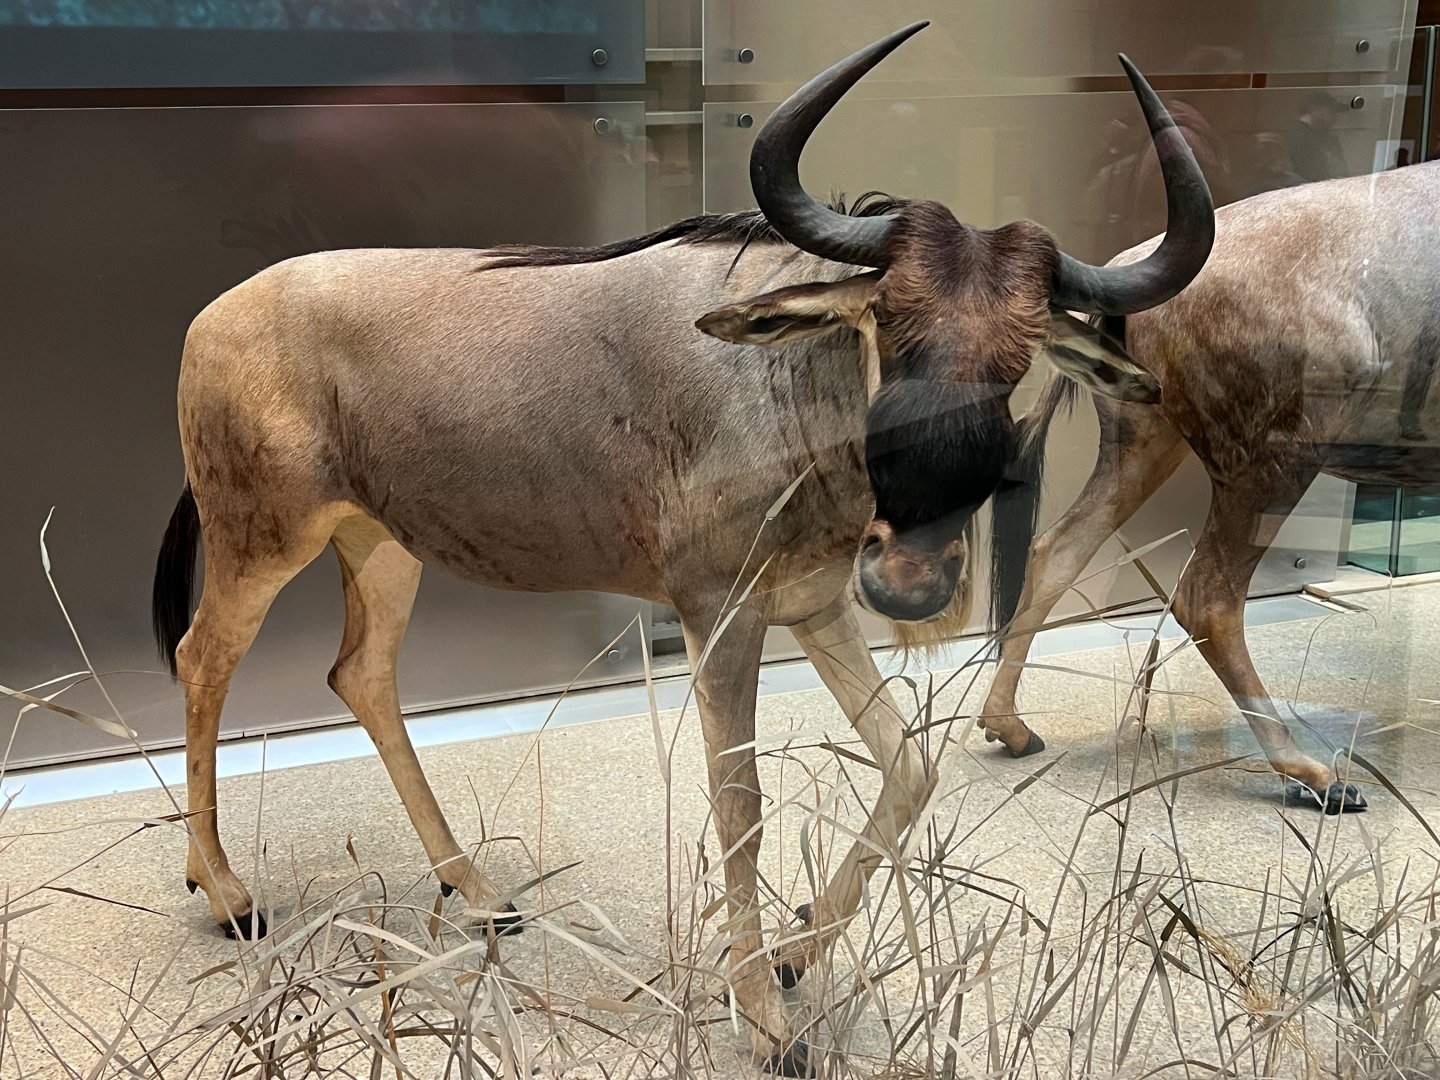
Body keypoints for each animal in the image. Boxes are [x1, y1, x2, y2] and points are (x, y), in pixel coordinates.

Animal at [152, 22, 1212, 1073]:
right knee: (202, 659)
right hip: (262, 541)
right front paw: (766, 1021)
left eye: (1021, 354)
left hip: (381, 545)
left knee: (361, 674)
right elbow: (740, 802)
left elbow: (910, 766)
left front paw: (794, 954)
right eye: (889, 322)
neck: (784, 385)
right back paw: (229, 895)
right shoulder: (722, 615)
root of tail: (211, 319)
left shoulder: (816, 606)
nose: (914, 579)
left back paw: (481, 895)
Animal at [979, 165, 1440, 816]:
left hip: (1146, 442)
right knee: (1207, 597)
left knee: (1056, 549)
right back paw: (1312, 774)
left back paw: (1011, 727)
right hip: (1270, 464)